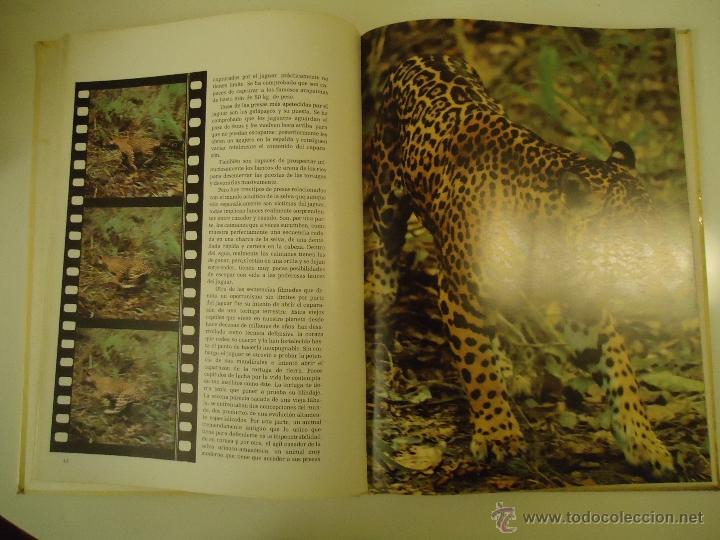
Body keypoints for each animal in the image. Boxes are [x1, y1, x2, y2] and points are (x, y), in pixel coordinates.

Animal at [365, 55, 676, 479]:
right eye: (631, 239)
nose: (666, 271)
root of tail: (420, 56)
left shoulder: (585, 308)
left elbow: (620, 371)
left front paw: (644, 442)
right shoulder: (458, 290)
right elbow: (476, 365)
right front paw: (498, 433)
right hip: (387, 198)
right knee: (385, 249)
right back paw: (380, 300)